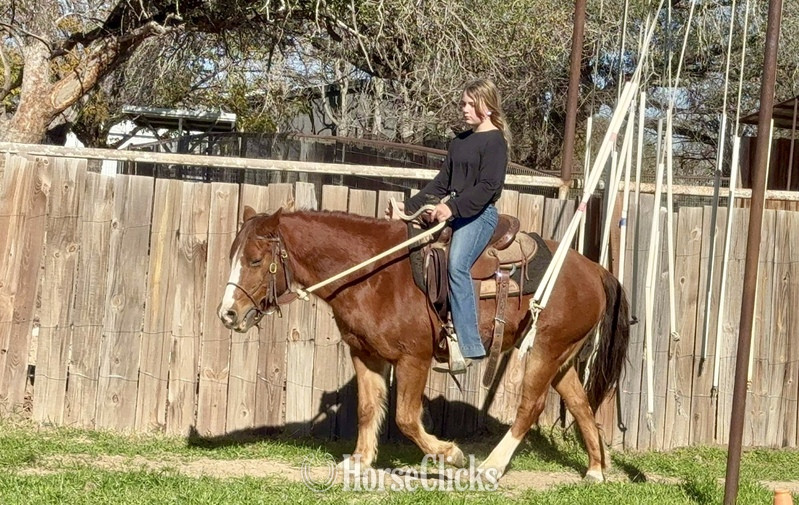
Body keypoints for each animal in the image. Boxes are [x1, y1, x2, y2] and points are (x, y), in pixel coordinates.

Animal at [217, 205, 630, 483]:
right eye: (233, 255)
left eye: (255, 260)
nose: (228, 314)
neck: (374, 274)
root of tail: (595, 270)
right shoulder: (365, 354)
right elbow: (368, 408)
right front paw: (359, 461)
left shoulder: (413, 358)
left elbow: (405, 417)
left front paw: (450, 454)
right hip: (563, 357)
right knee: (580, 405)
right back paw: (595, 469)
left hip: (544, 351)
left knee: (531, 406)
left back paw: (491, 467)